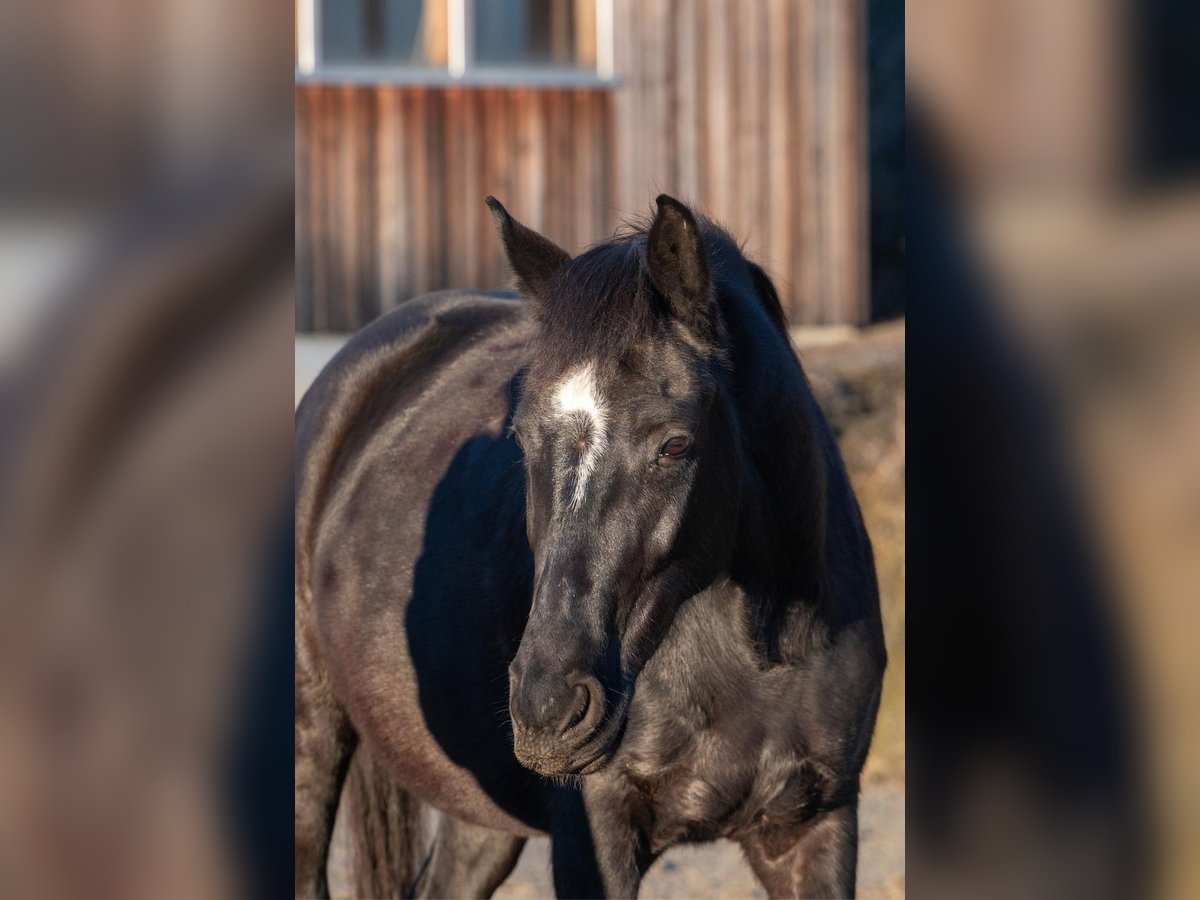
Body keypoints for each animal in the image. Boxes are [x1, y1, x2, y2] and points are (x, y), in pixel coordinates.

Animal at [295, 194, 888, 897]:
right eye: (521, 437)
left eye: (676, 444)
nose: (547, 708)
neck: (762, 651)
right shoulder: (595, 839)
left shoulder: (814, 829)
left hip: (483, 819)